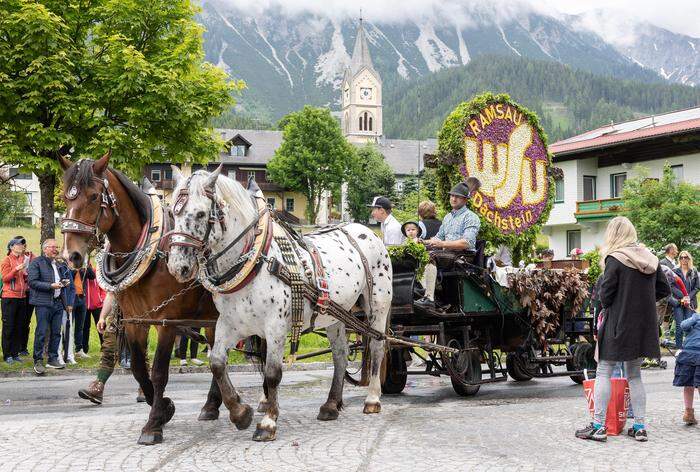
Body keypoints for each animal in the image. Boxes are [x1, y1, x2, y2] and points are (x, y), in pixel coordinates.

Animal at [60, 152, 226, 446]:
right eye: (65, 197)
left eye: (93, 196)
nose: (73, 256)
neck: (152, 252)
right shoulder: (134, 320)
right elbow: (138, 368)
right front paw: (164, 408)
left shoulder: (167, 322)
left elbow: (159, 371)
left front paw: (153, 425)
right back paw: (211, 405)